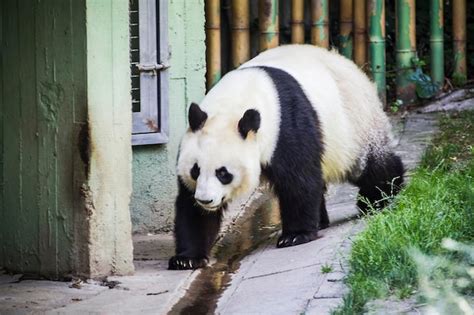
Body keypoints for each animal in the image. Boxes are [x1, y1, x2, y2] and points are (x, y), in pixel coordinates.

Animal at [168, 45, 402, 272]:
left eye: (223, 173)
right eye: (195, 170)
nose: (205, 200)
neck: (234, 103)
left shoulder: (285, 126)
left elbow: (299, 180)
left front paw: (295, 236)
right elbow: (190, 208)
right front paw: (187, 259)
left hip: (354, 124)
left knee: (371, 165)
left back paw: (380, 196)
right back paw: (322, 220)